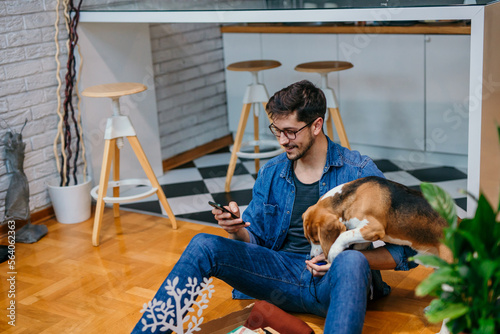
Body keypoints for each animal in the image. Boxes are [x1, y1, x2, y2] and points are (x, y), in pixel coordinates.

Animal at [300, 176, 454, 264]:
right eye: (308, 239)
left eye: (316, 240)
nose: (311, 257)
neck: (351, 198)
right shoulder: (364, 235)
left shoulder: (374, 228)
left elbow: (344, 235)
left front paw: (333, 251)